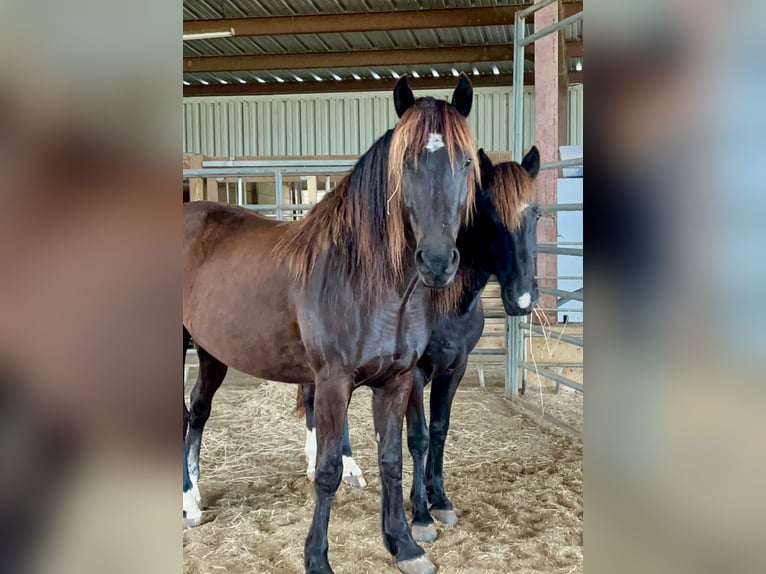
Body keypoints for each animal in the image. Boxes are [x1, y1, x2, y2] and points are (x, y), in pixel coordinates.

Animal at [183, 75, 478, 574]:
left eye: (467, 161)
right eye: (407, 162)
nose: (438, 262)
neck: (366, 278)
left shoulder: (397, 381)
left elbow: (392, 459)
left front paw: (404, 544)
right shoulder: (333, 382)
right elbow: (327, 471)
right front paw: (317, 559)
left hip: (211, 354)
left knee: (198, 413)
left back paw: (194, 501)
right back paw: (185, 503)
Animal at [296, 147, 541, 542]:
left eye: (536, 213)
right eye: (489, 215)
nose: (522, 299)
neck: (444, 303)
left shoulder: (455, 368)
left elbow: (439, 430)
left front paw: (438, 497)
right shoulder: (412, 374)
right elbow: (418, 437)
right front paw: (421, 514)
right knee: (311, 402)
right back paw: (324, 463)